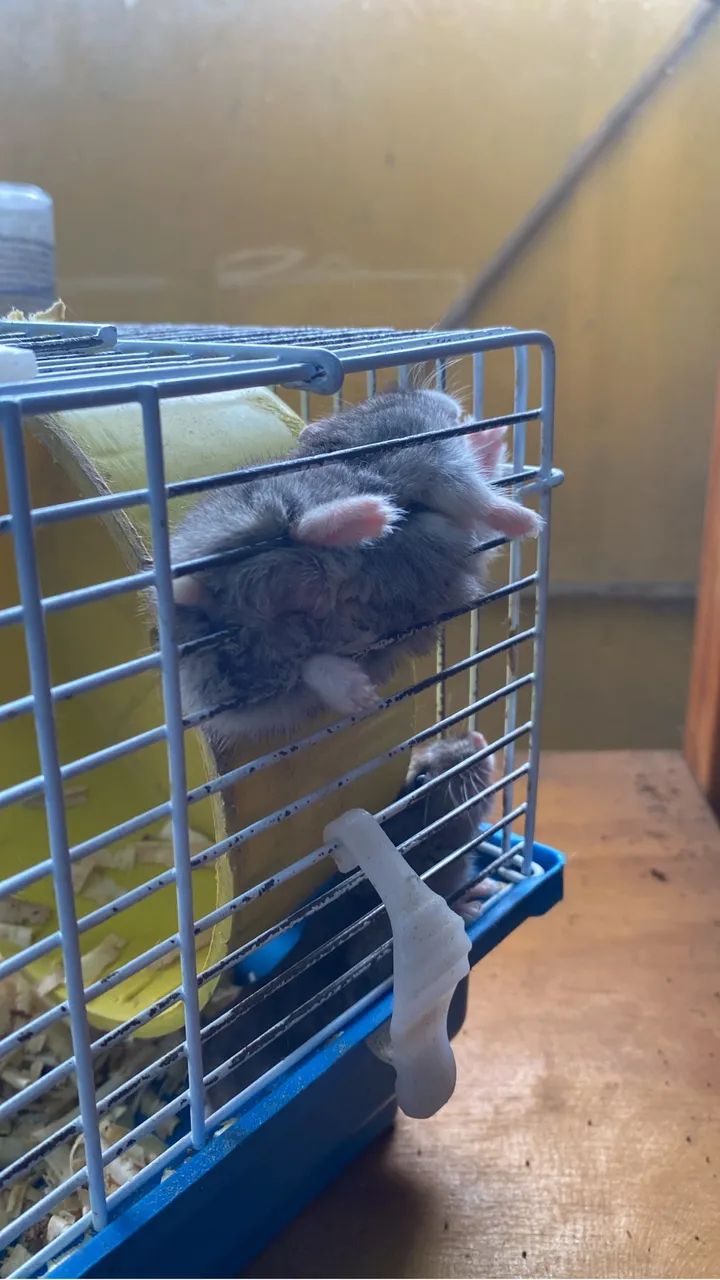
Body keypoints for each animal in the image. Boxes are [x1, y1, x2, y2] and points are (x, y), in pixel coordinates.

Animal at [166, 390, 540, 745]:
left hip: (257, 684)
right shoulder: (441, 465)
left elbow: (485, 480)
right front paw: (531, 523)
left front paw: (489, 433)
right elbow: (480, 497)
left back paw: (358, 692)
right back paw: (372, 515)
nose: (447, 401)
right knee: (300, 528)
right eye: (384, 400)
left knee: (300, 669)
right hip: (266, 509)